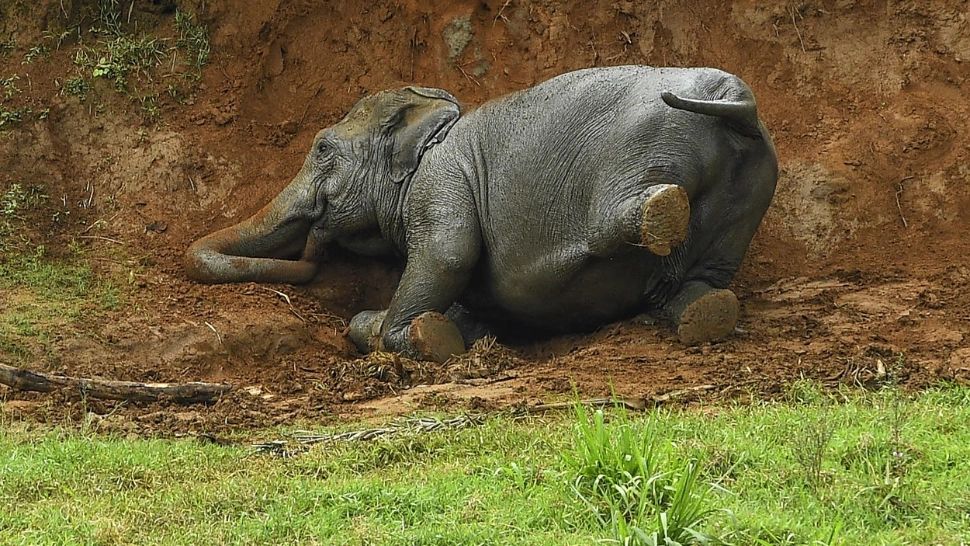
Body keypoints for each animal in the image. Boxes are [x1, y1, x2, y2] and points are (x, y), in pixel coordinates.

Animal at [185, 65, 778, 363]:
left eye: (324, 149)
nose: (315, 243)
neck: (432, 125)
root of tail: (738, 99)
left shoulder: (439, 184)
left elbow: (446, 257)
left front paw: (412, 339)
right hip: (749, 191)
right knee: (706, 278)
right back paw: (705, 313)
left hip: (649, 147)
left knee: (627, 216)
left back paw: (658, 214)